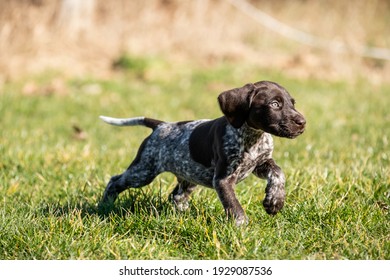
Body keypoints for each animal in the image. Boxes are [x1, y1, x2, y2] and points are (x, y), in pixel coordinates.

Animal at [100, 80, 304, 225]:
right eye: (275, 104)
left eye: (293, 103)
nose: (303, 122)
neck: (253, 136)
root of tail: (161, 126)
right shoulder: (222, 179)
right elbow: (234, 206)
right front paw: (241, 228)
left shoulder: (260, 164)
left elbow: (278, 173)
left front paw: (275, 200)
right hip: (143, 171)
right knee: (115, 181)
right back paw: (104, 205)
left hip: (189, 176)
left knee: (177, 196)